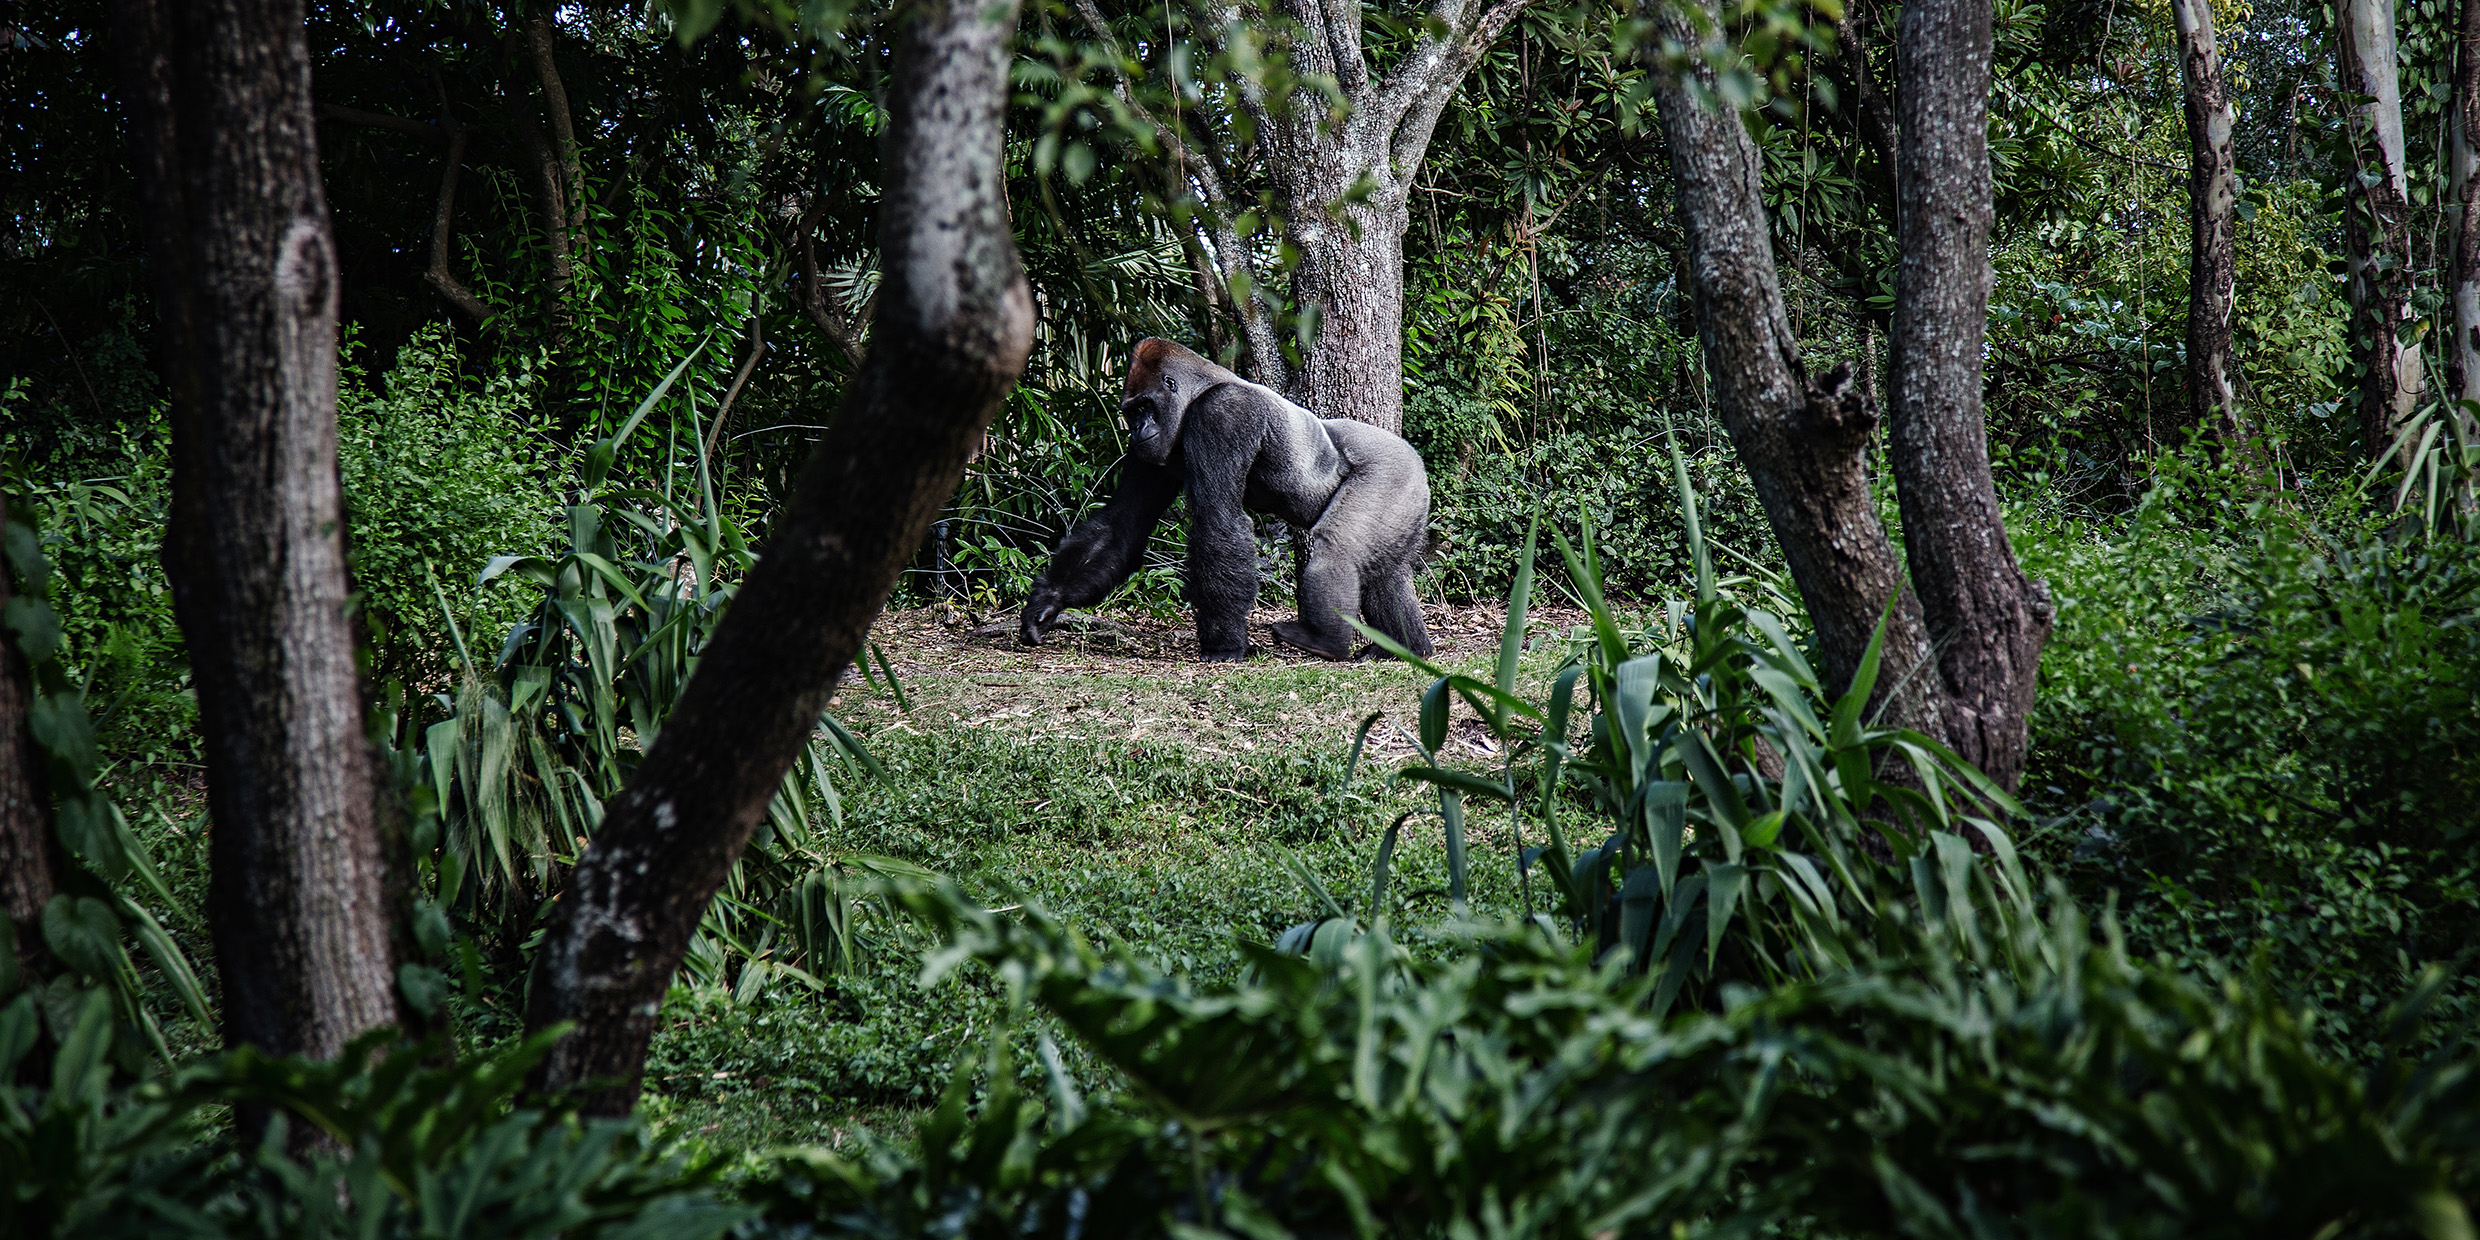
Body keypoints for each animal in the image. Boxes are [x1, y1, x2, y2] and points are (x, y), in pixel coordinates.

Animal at [1011, 339, 1438, 664]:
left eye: (1145, 407)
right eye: (1131, 413)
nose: (1137, 429)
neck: (1200, 390)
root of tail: (1416, 460)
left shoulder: (1223, 414)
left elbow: (1217, 520)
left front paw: (1224, 645)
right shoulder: (1150, 453)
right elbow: (1120, 526)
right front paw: (1047, 602)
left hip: (1392, 471)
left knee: (1338, 549)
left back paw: (1326, 642)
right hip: (1406, 494)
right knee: (1384, 571)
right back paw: (1406, 647)